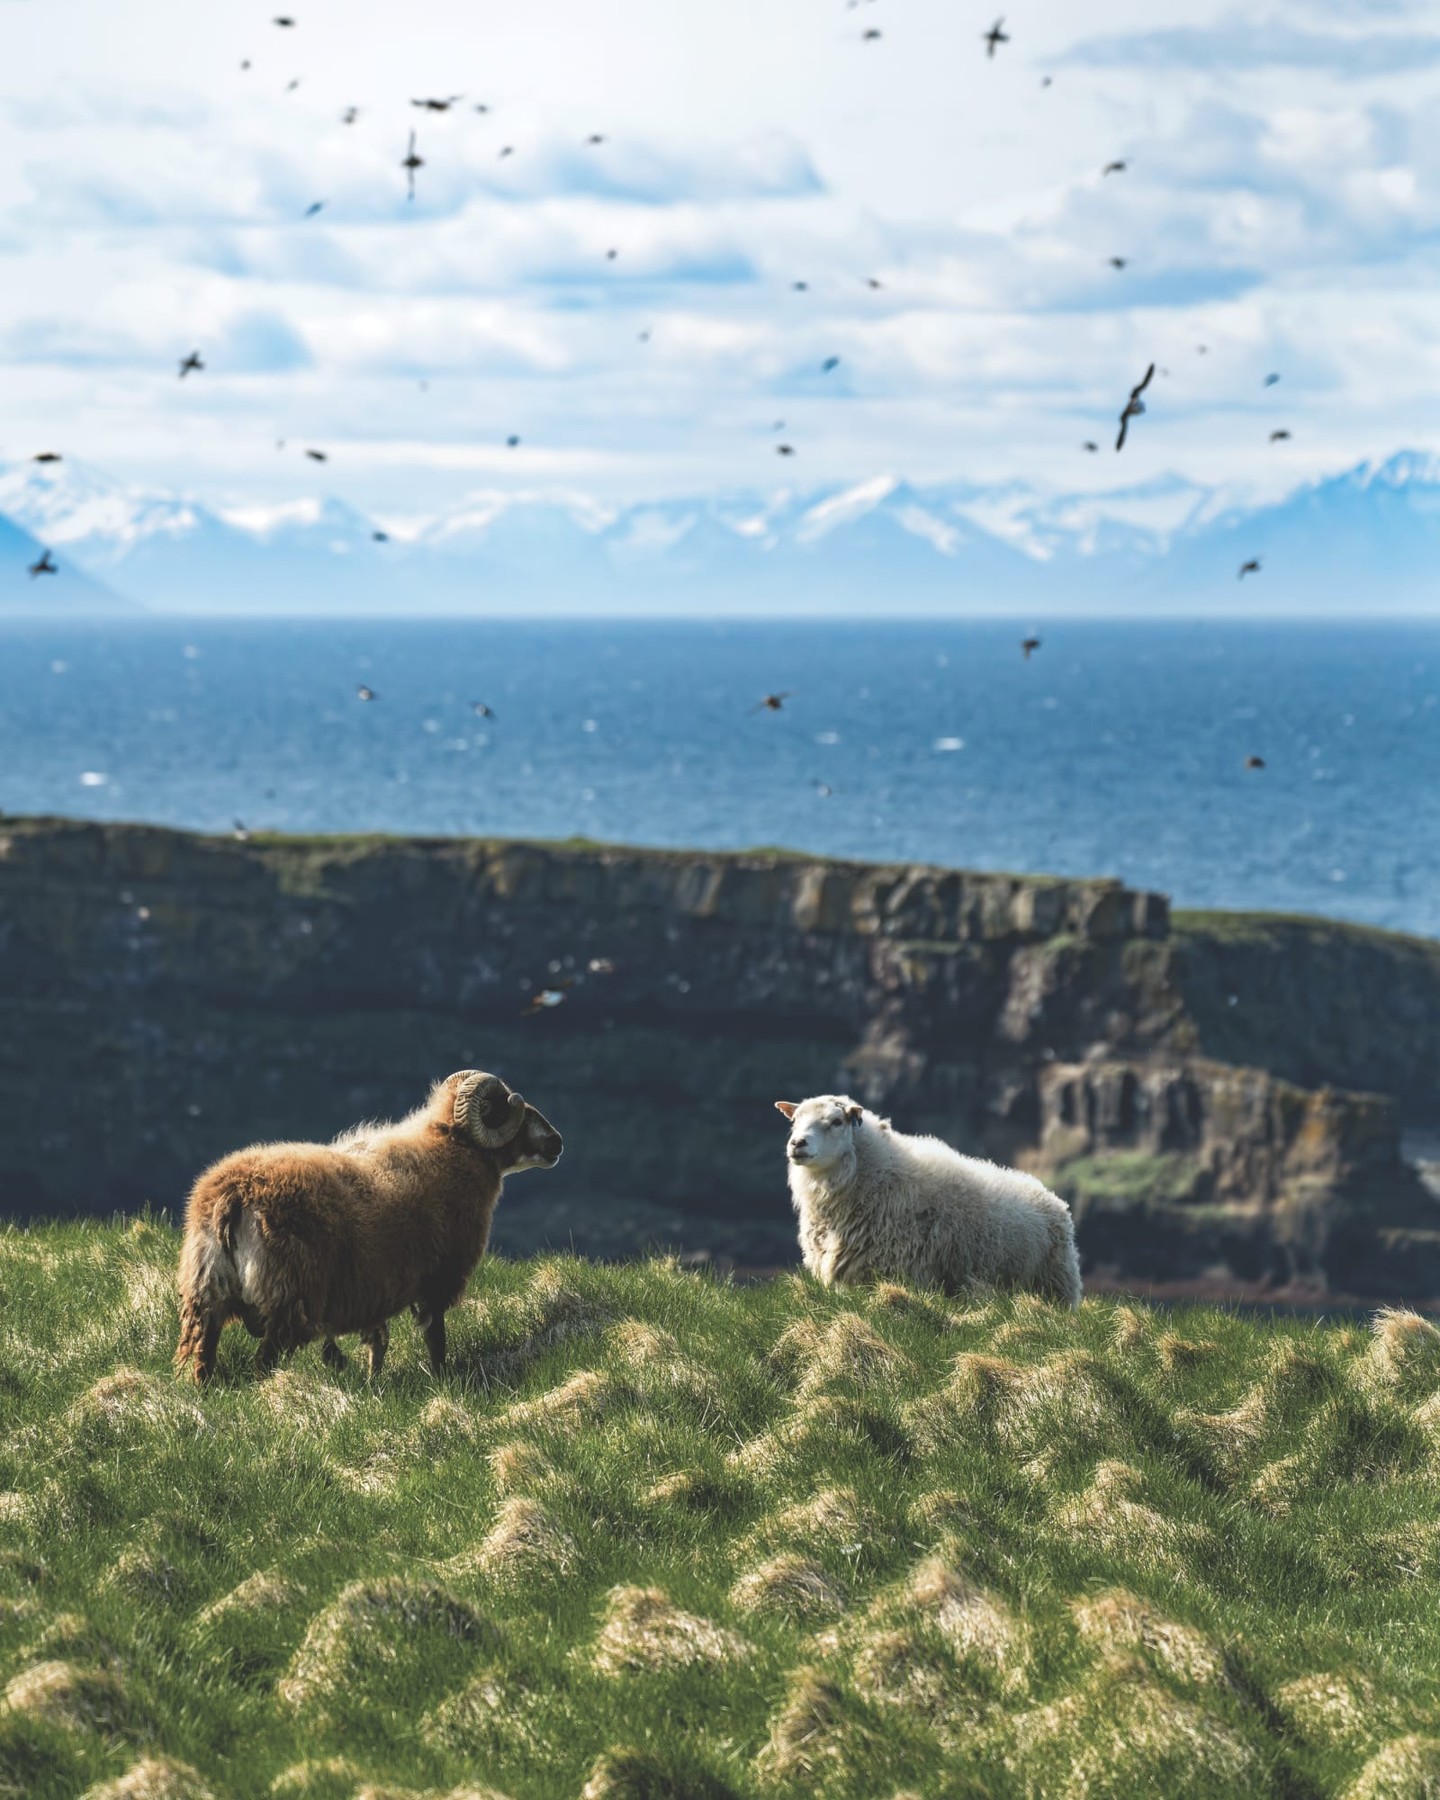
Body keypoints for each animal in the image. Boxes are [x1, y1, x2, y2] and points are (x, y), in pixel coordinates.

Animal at [174, 1071, 562, 1384]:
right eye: (504, 1109)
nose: (556, 1141)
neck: (453, 1151)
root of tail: (234, 1195)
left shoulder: (377, 1290)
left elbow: (379, 1342)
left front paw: (374, 1383)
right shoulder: (435, 1280)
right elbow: (435, 1339)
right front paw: (441, 1379)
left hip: (206, 1296)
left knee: (203, 1360)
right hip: (288, 1299)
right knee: (263, 1362)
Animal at [775, 1095, 1081, 1307]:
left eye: (836, 1121)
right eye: (794, 1121)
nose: (797, 1143)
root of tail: (1048, 1194)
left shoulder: (896, 1269)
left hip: (1054, 1283)